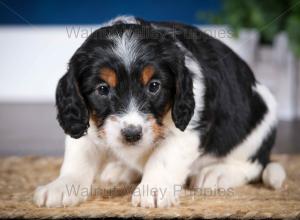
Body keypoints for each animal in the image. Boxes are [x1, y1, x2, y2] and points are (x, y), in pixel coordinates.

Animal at [33, 16, 286, 207]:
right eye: (102, 89)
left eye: (154, 86)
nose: (132, 135)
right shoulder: (85, 122)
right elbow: (78, 158)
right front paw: (63, 186)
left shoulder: (189, 128)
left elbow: (163, 158)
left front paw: (153, 189)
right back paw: (123, 169)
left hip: (261, 124)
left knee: (253, 165)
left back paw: (218, 173)